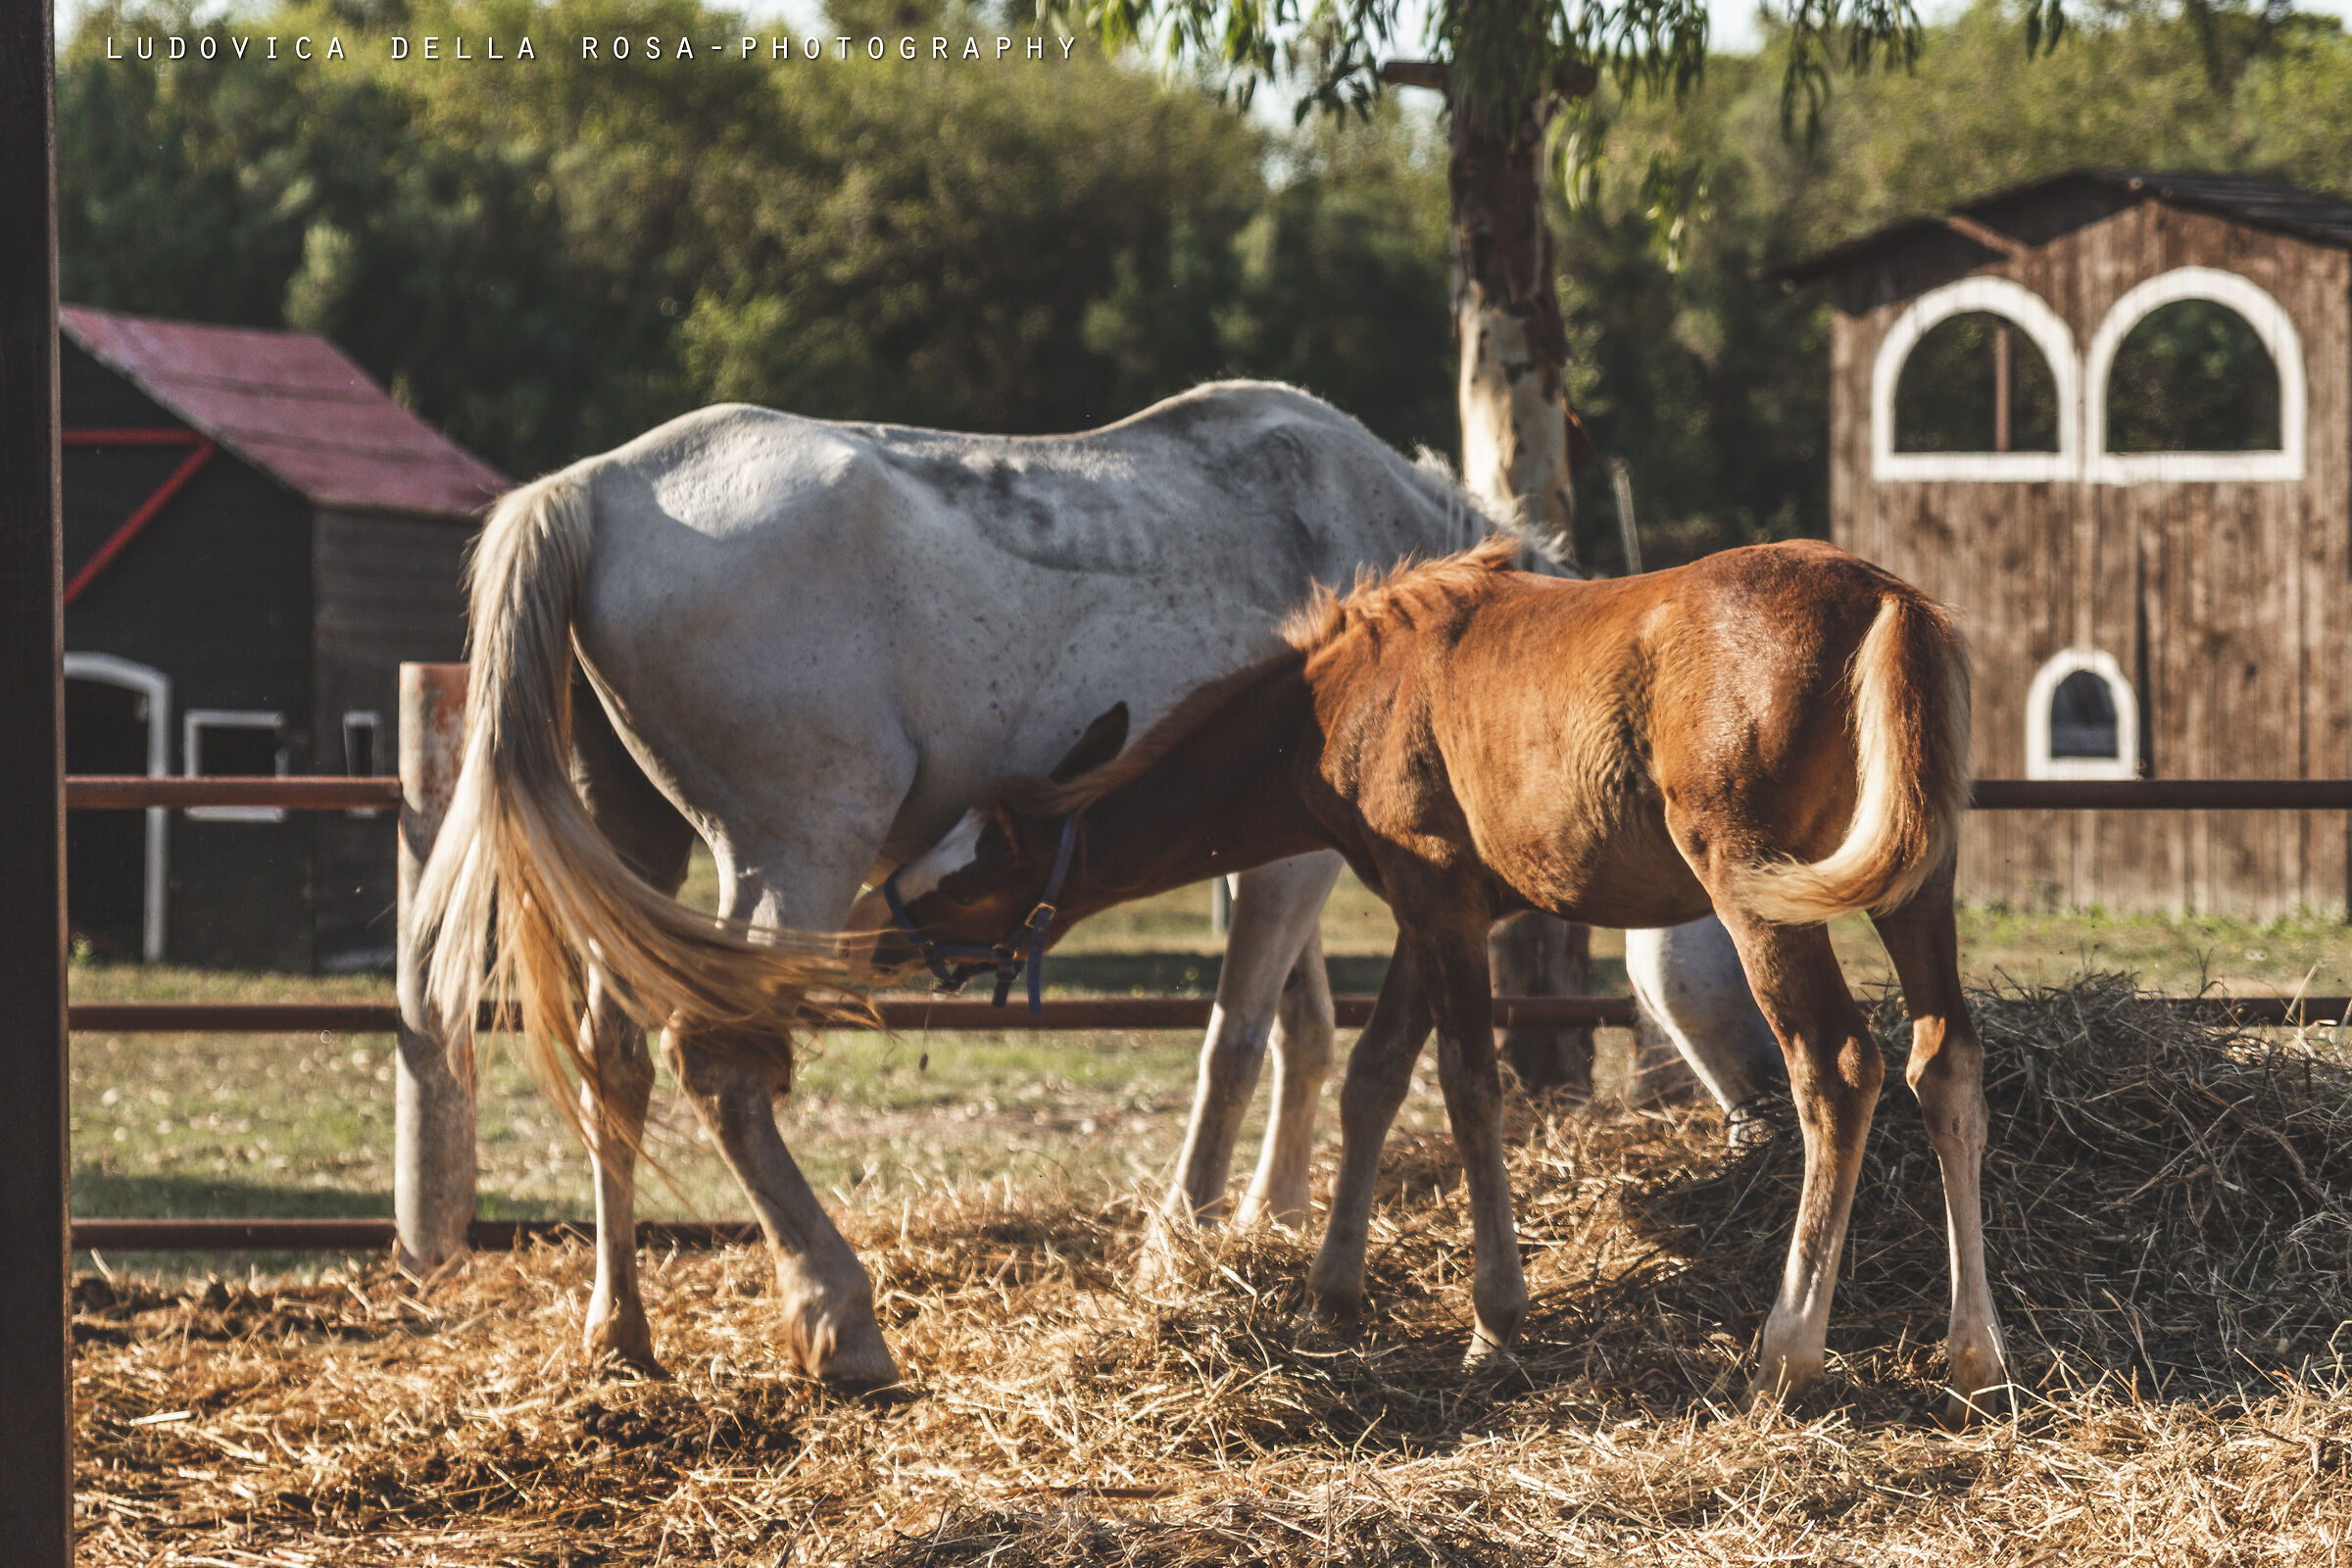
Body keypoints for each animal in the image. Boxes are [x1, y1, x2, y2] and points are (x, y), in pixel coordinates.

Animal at [411, 380, 1775, 1390]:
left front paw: (1271, 1221)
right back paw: (842, 1315)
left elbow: (1306, 1034)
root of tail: (595, 489)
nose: (1770, 1115)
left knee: (616, 1058)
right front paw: (1188, 1237)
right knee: (719, 1063)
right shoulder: (1295, 863)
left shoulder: (1283, 866)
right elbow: (1243, 1039)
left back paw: (620, 1328)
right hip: (792, 851)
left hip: (636, 857)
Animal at [866, 536, 2008, 1422]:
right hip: (1917, 882)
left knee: (1837, 1069)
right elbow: (1373, 1076)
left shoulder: (1441, 899)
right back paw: (1975, 1356)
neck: (1338, 701)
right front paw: (1331, 1292)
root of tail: (1884, 599)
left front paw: (1494, 1322)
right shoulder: (1426, 912)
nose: (881, 936)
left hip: (1758, 890)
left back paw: (1787, 1351)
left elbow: (1466, 1086)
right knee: (1945, 1060)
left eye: (971, 878)